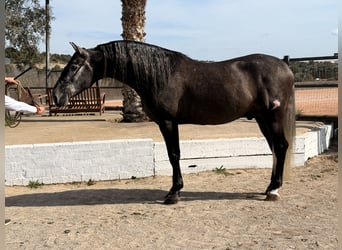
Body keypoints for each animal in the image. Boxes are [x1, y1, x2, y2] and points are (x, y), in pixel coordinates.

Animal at [52, 41, 296, 204]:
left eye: (74, 66)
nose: (56, 96)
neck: (161, 75)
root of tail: (284, 66)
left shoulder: (168, 122)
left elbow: (174, 154)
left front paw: (173, 192)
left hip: (273, 117)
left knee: (281, 146)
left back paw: (273, 190)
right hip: (262, 119)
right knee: (275, 149)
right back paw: (269, 187)